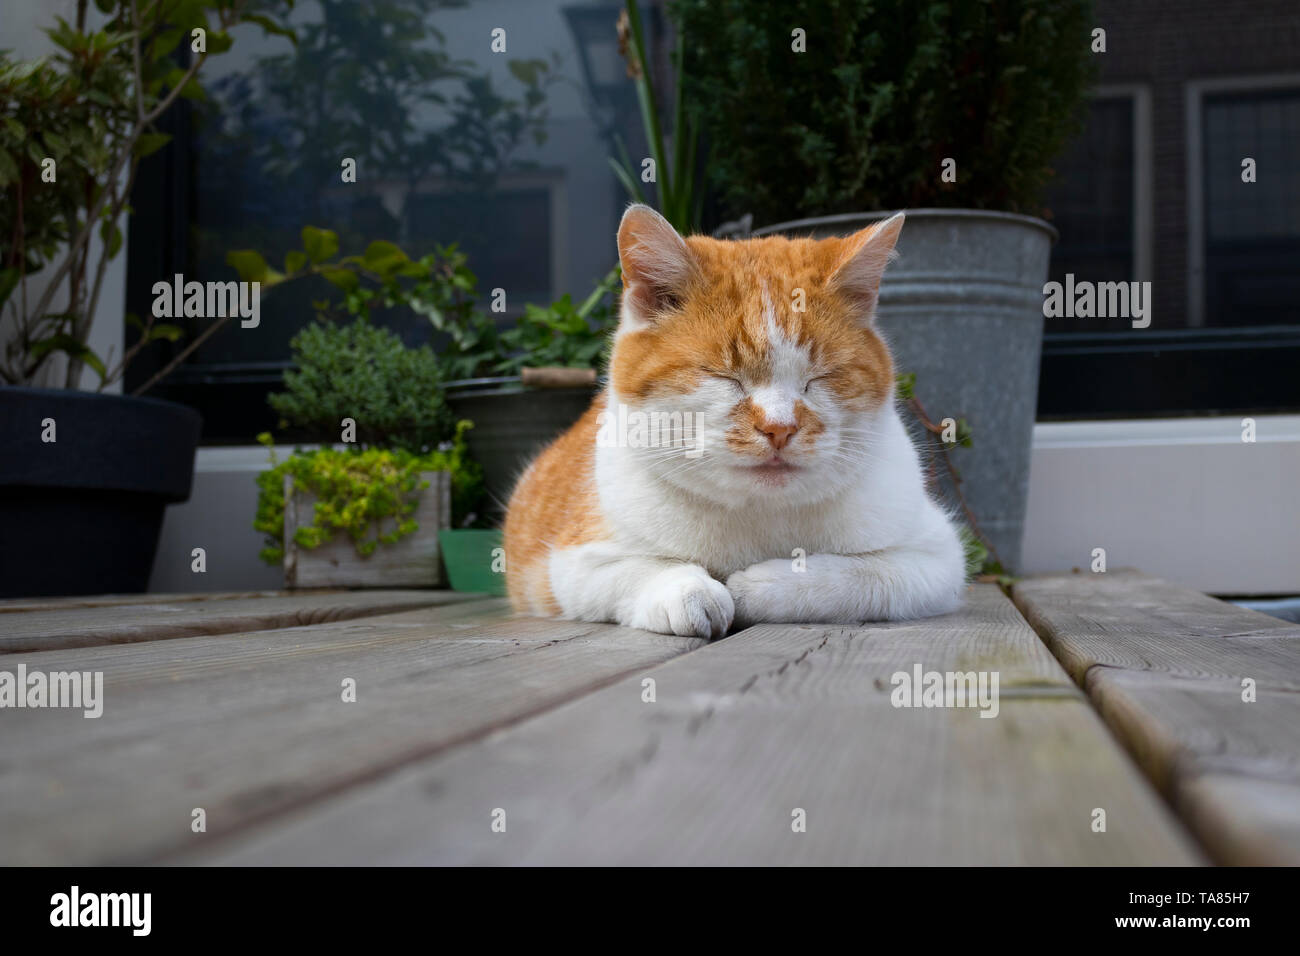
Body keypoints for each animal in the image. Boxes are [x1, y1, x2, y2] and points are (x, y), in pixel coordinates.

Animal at [504, 204, 967, 634]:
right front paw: (690, 592)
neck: (760, 515)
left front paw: (761, 586)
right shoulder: (572, 564)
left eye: (819, 377)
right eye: (724, 377)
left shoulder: (938, 557)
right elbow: (642, 569)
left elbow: (862, 576)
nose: (780, 427)